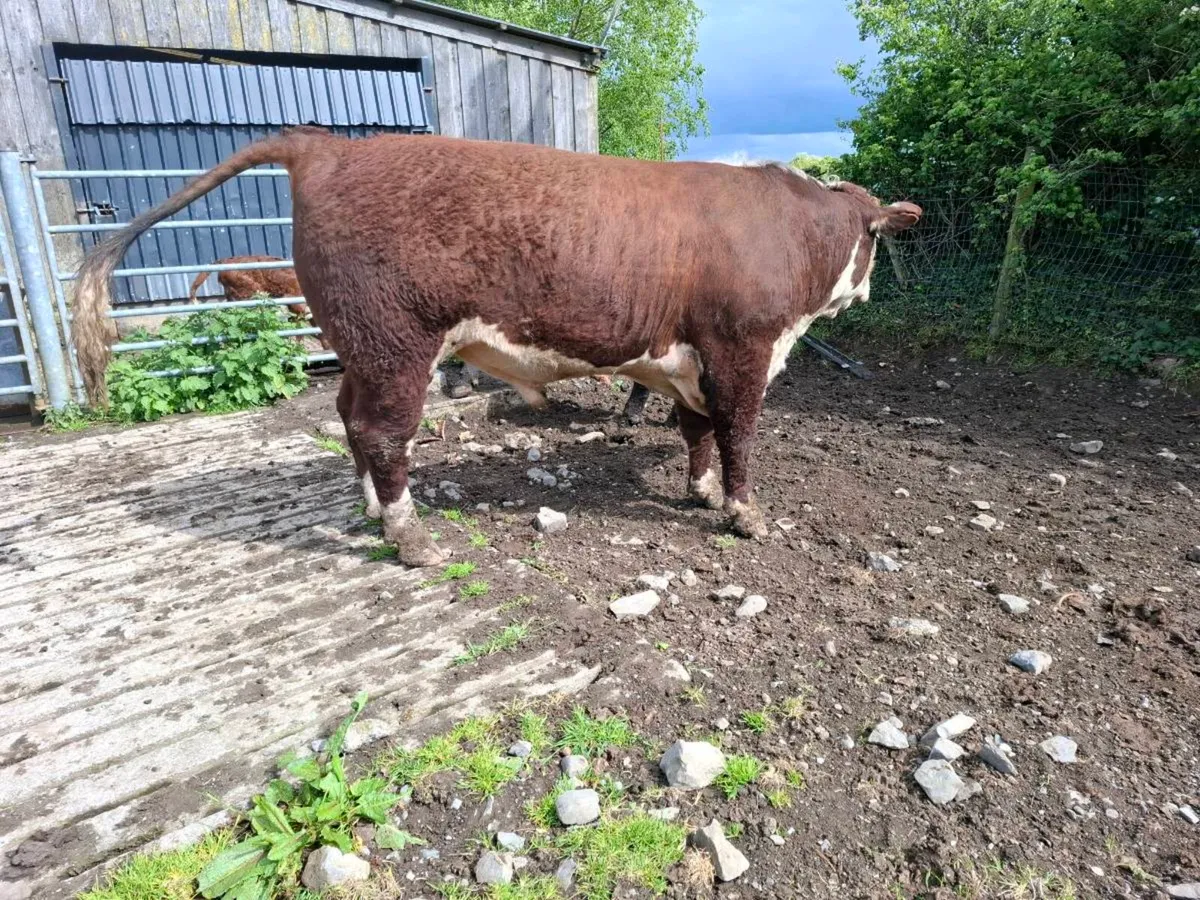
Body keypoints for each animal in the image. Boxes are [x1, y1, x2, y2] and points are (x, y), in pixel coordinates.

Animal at [73, 128, 921, 568]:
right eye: (875, 242)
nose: (869, 291)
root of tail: (330, 145)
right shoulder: (743, 347)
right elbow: (738, 431)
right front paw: (744, 513)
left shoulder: (690, 360)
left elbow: (698, 429)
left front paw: (703, 491)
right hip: (397, 342)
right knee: (383, 431)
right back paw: (410, 536)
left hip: (362, 346)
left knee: (349, 418)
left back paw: (371, 509)